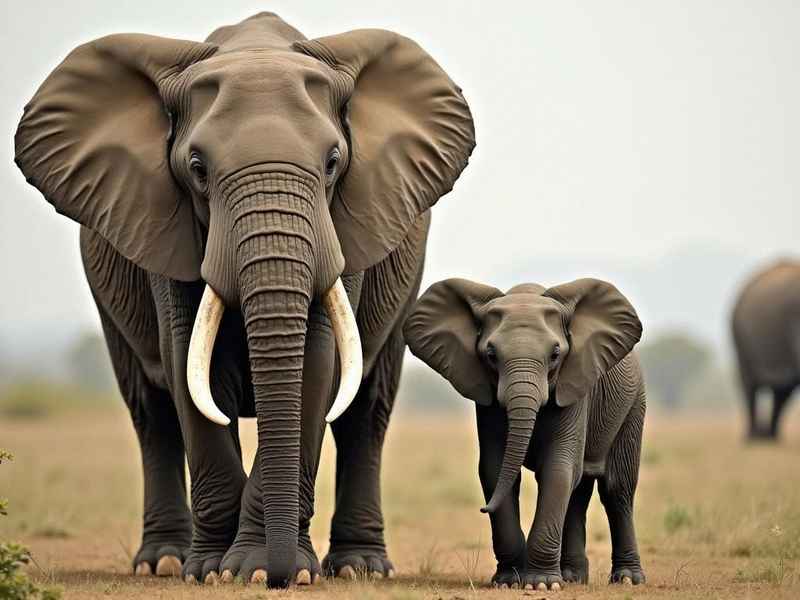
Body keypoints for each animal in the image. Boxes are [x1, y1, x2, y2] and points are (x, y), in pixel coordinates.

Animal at [14, 12, 474, 587]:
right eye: (197, 167)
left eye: (333, 162)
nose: (278, 575)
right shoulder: (167, 227)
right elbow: (189, 366)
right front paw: (215, 572)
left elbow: (316, 367)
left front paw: (263, 570)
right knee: (151, 411)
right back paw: (163, 562)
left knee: (366, 411)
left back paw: (359, 569)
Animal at [404, 278, 646, 589]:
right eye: (491, 355)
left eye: (555, 355)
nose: (483, 509)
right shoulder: (487, 399)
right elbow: (495, 469)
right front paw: (510, 581)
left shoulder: (573, 385)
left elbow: (558, 467)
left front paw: (541, 583)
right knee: (578, 490)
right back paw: (573, 577)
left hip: (634, 404)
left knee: (617, 489)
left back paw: (627, 579)